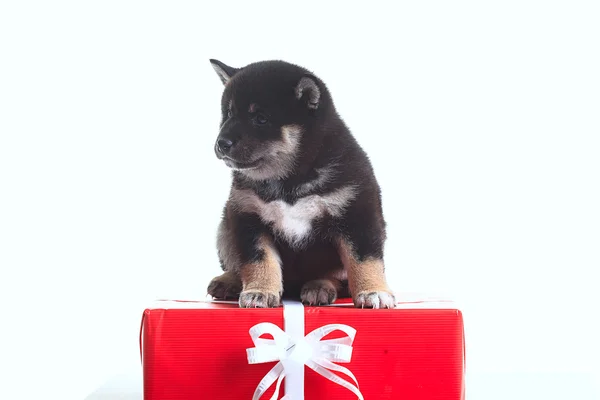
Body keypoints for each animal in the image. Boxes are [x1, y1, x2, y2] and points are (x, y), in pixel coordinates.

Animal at [206, 59, 394, 310]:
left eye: (261, 118)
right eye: (228, 113)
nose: (221, 143)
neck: (290, 180)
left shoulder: (357, 214)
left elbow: (364, 259)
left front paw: (374, 291)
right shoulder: (248, 218)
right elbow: (258, 260)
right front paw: (259, 292)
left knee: (335, 276)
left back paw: (319, 287)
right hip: (225, 228)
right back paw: (228, 281)